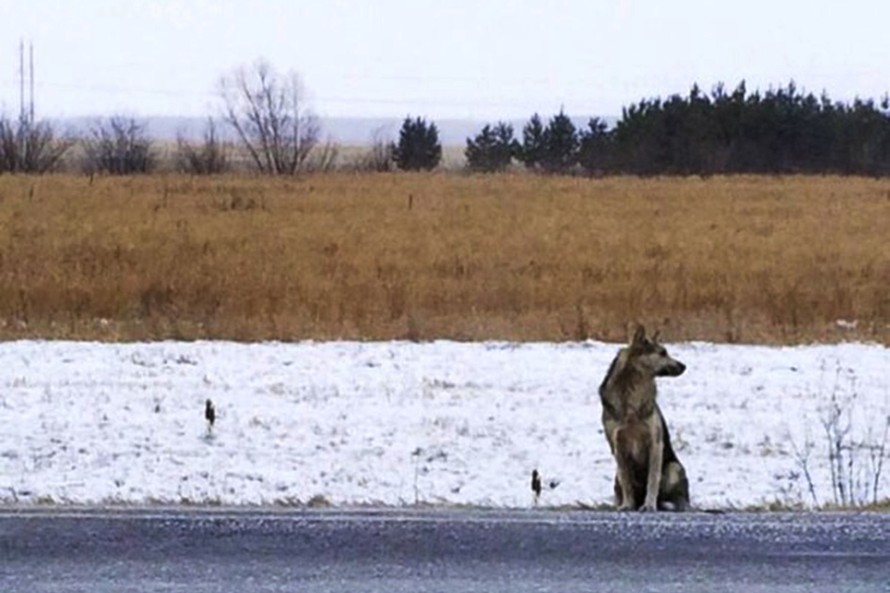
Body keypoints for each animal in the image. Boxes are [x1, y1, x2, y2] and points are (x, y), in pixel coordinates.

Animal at [596, 326, 688, 512]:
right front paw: (627, 505)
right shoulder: (618, 446)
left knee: (675, 497)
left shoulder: (655, 443)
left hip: (673, 468)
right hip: (616, 475)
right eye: (662, 353)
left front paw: (649, 505)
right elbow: (627, 481)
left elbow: (653, 479)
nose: (684, 366)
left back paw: (667, 505)